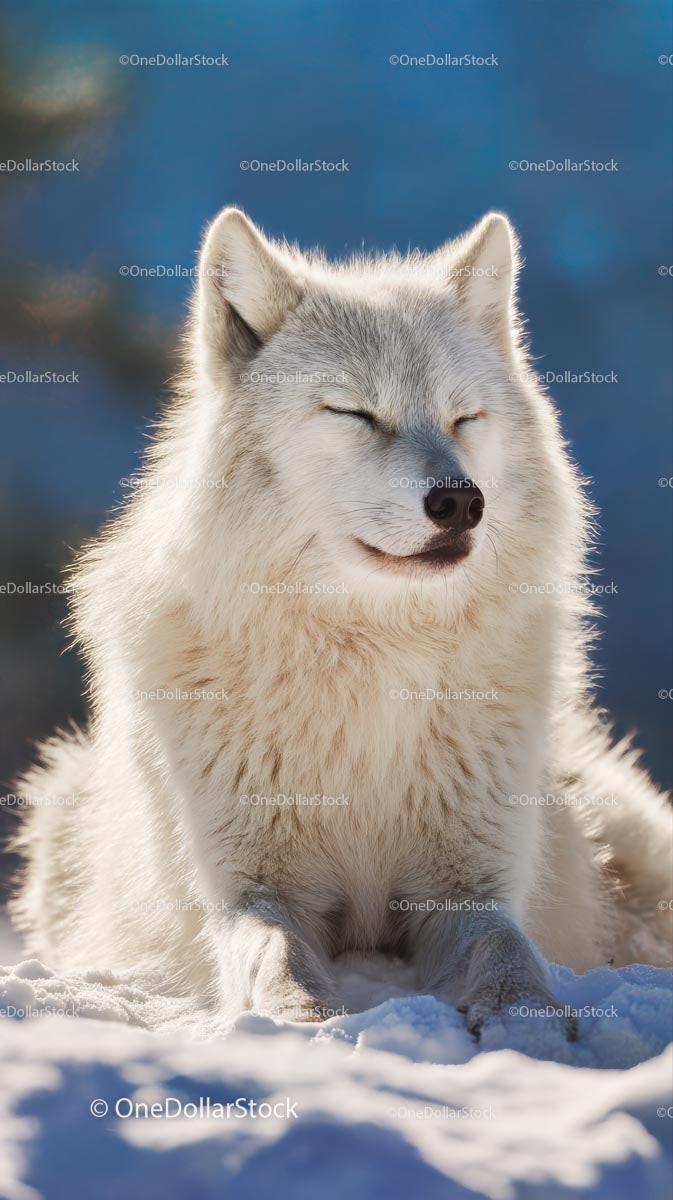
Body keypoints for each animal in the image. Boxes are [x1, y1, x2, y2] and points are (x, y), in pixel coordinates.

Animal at [10, 207, 673, 1036]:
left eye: (464, 417)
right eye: (355, 413)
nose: (460, 501)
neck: (375, 656)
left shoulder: (466, 889)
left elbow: (507, 947)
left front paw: (527, 1020)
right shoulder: (251, 888)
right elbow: (274, 951)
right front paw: (304, 1019)